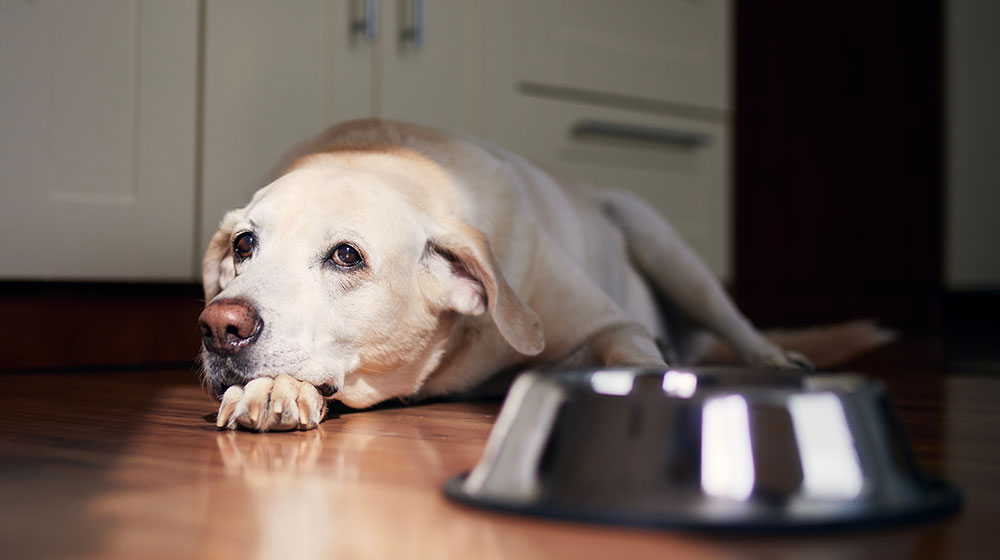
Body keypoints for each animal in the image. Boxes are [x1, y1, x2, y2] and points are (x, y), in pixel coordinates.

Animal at [197, 120, 812, 430]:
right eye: (244, 244)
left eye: (347, 256)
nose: (220, 326)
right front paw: (272, 389)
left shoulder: (608, 324)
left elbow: (631, 355)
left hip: (661, 240)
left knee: (734, 321)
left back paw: (776, 358)